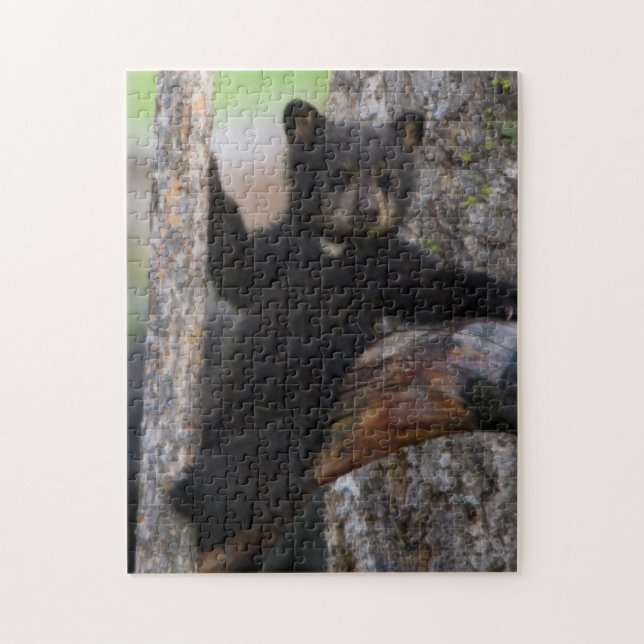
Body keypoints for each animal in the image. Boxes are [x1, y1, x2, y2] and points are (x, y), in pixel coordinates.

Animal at [177, 99, 517, 572]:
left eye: (386, 175)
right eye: (340, 172)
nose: (368, 210)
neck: (337, 249)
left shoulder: (385, 272)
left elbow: (436, 286)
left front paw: (508, 297)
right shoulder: (280, 255)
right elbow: (235, 264)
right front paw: (206, 166)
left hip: (286, 425)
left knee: (248, 470)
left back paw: (190, 495)